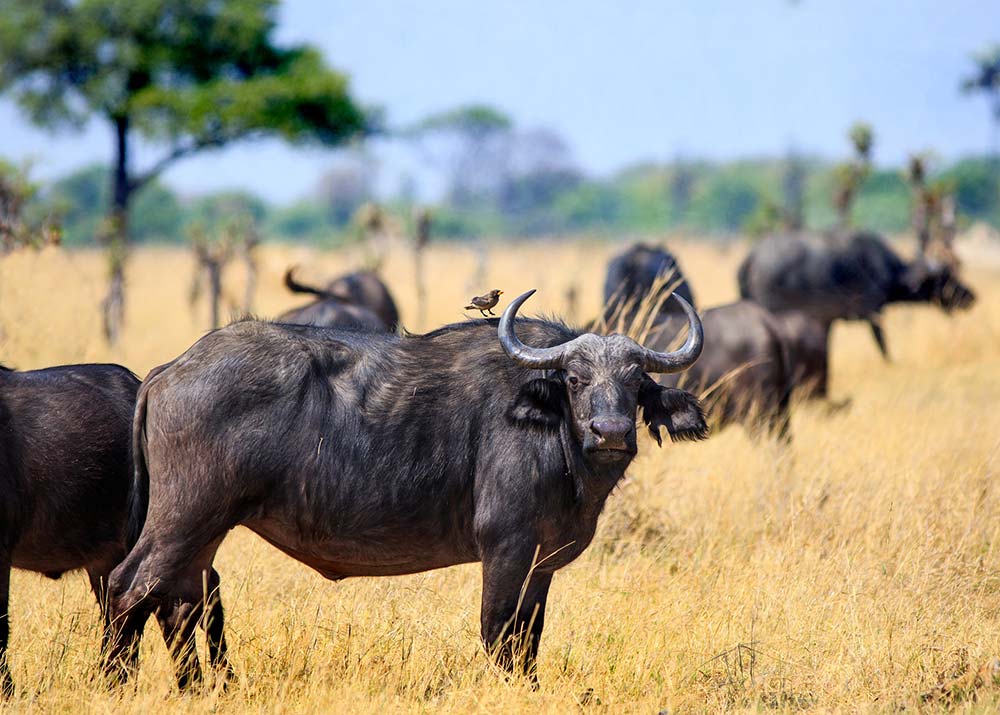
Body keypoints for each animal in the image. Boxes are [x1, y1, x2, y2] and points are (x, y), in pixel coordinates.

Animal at [106, 290, 706, 687]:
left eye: (636, 383)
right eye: (577, 380)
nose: (611, 433)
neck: (554, 430)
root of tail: (172, 368)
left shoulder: (542, 563)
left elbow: (529, 638)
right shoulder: (506, 548)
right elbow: (499, 632)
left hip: (205, 528)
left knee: (183, 603)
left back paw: (205, 687)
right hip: (185, 517)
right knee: (128, 586)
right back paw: (116, 681)